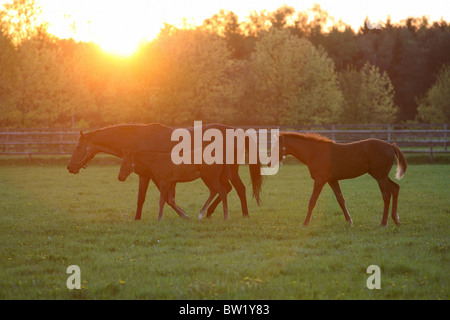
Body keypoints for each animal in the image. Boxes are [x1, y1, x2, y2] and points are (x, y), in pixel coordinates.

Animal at [67, 122, 264, 220]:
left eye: (78, 146)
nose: (70, 167)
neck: (138, 138)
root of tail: (238, 132)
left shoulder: (150, 176)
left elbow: (158, 199)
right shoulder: (157, 176)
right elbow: (161, 199)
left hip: (226, 172)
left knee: (237, 189)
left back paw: (241, 214)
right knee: (229, 189)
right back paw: (211, 212)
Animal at [274, 131, 408, 226]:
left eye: (276, 145)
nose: (270, 162)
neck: (315, 152)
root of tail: (391, 145)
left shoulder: (320, 180)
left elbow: (312, 201)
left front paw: (306, 223)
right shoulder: (332, 180)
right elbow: (340, 200)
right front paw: (349, 221)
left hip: (380, 176)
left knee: (386, 195)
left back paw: (384, 223)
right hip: (381, 175)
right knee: (395, 188)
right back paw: (396, 220)